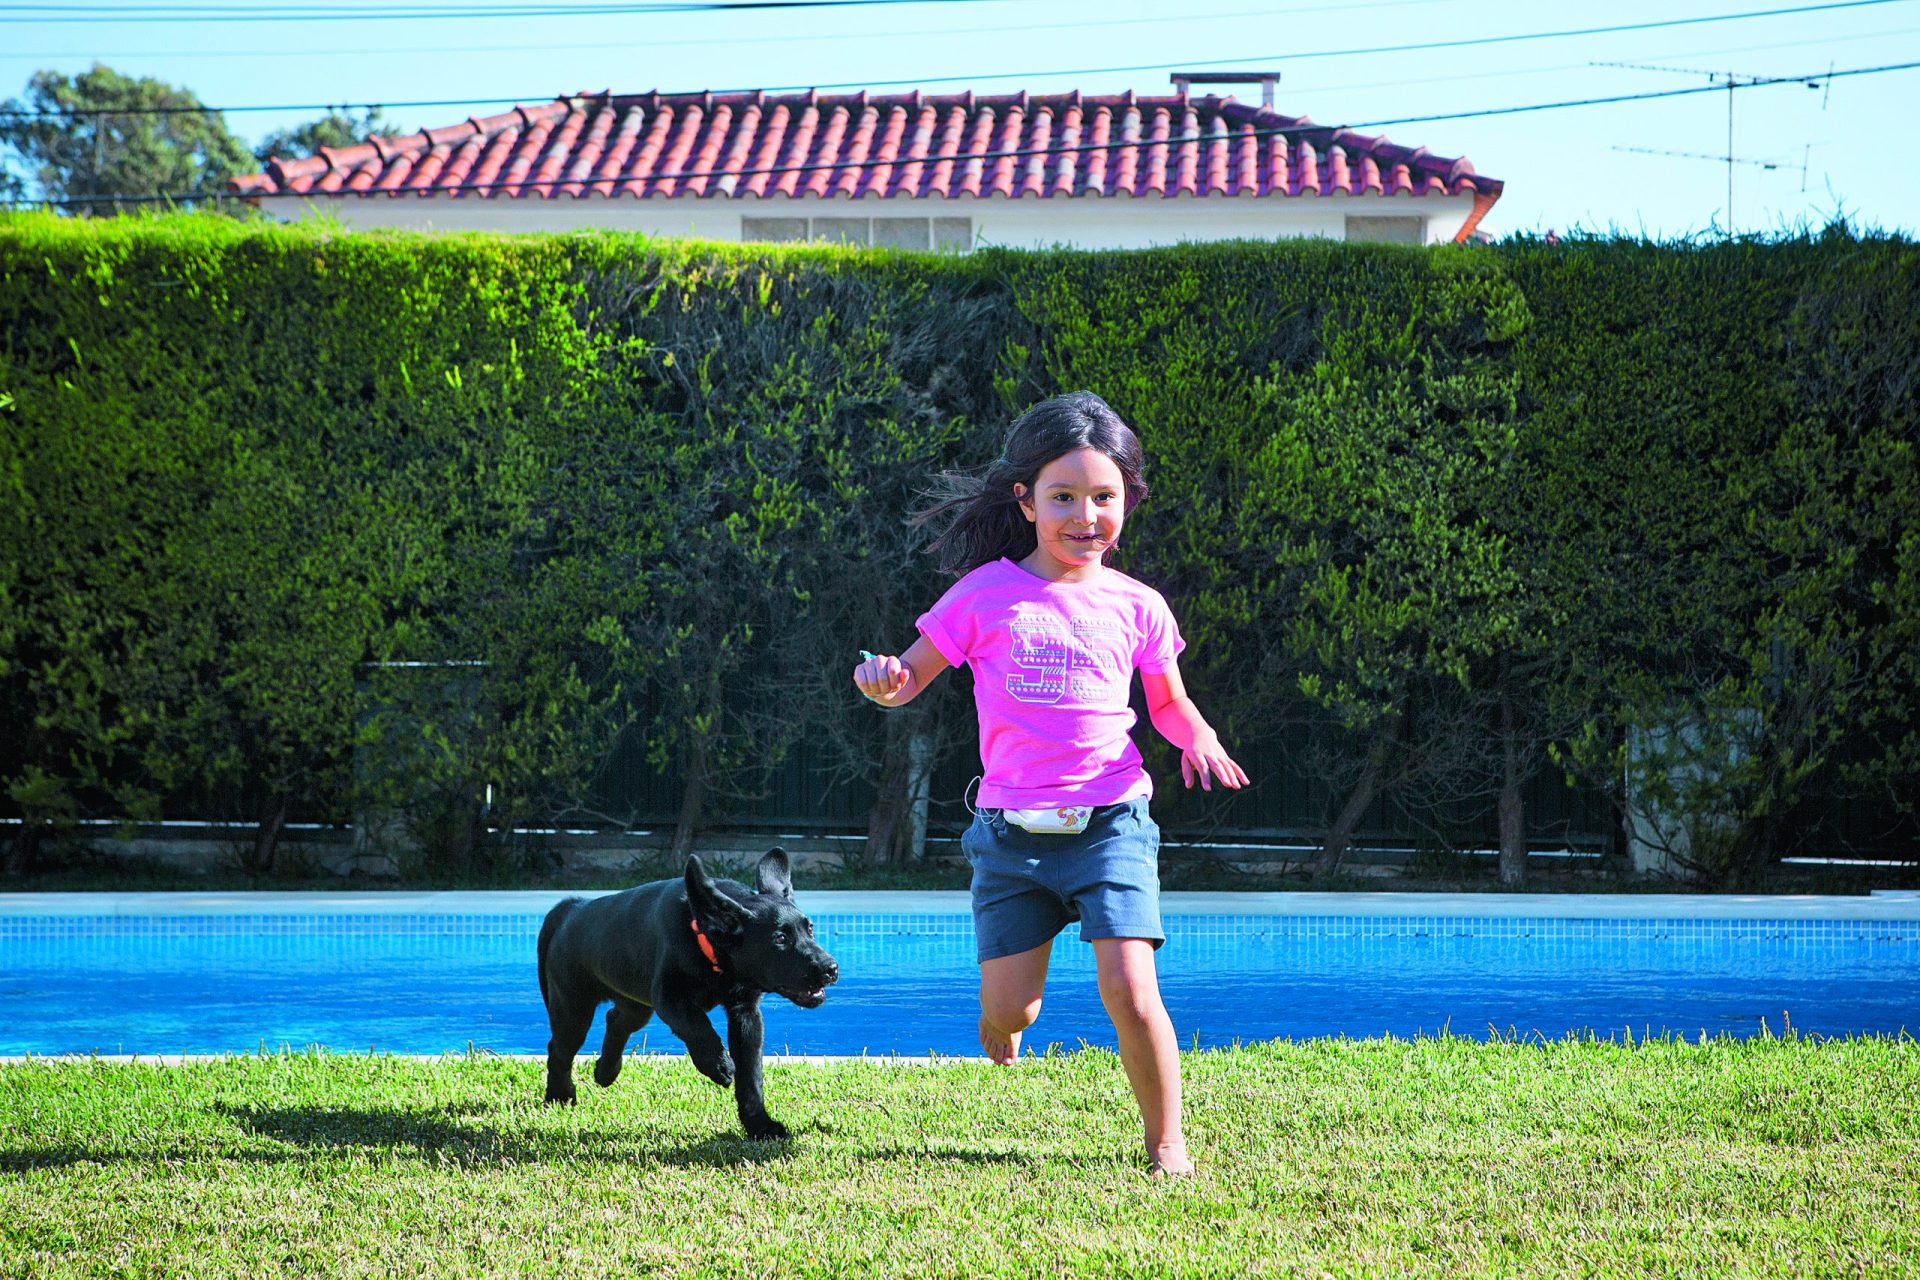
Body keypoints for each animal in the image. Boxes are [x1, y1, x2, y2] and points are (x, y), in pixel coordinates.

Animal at [541, 852, 840, 1143]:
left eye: (810, 929)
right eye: (779, 938)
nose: (831, 968)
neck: (709, 946)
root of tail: (571, 908)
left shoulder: (745, 1013)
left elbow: (750, 1076)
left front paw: (760, 1125)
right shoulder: (668, 997)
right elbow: (697, 1026)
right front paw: (719, 1065)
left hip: (635, 1005)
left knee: (615, 1020)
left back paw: (605, 1072)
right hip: (573, 1008)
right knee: (559, 1050)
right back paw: (559, 1096)